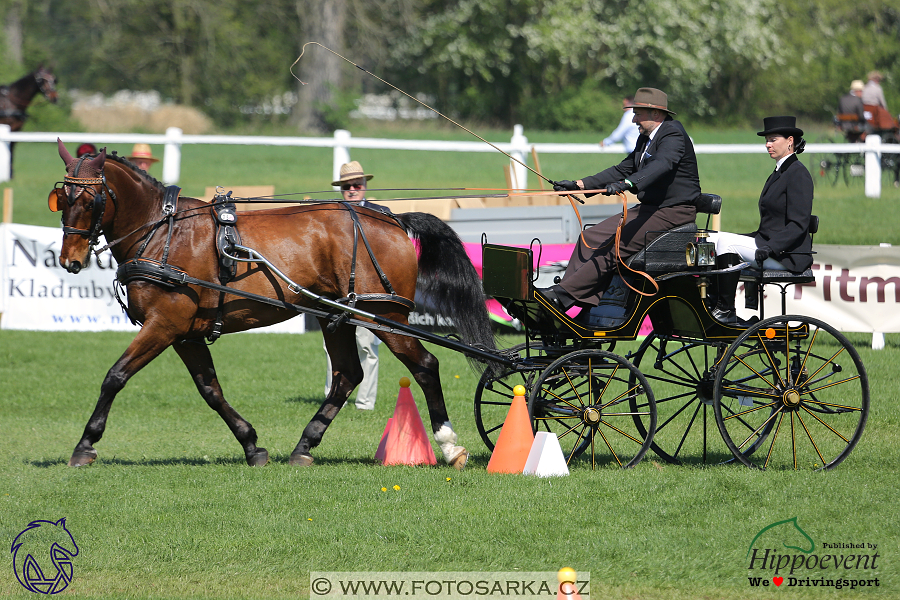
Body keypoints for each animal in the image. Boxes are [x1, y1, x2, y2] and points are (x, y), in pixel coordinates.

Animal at [52, 141, 496, 468]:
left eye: (90, 200)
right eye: (62, 198)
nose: (69, 260)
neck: (164, 233)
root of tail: (391, 218)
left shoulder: (164, 325)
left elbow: (115, 376)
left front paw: (85, 444)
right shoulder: (185, 334)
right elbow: (210, 389)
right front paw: (251, 445)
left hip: (384, 316)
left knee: (425, 366)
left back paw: (449, 444)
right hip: (338, 317)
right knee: (346, 375)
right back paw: (305, 445)